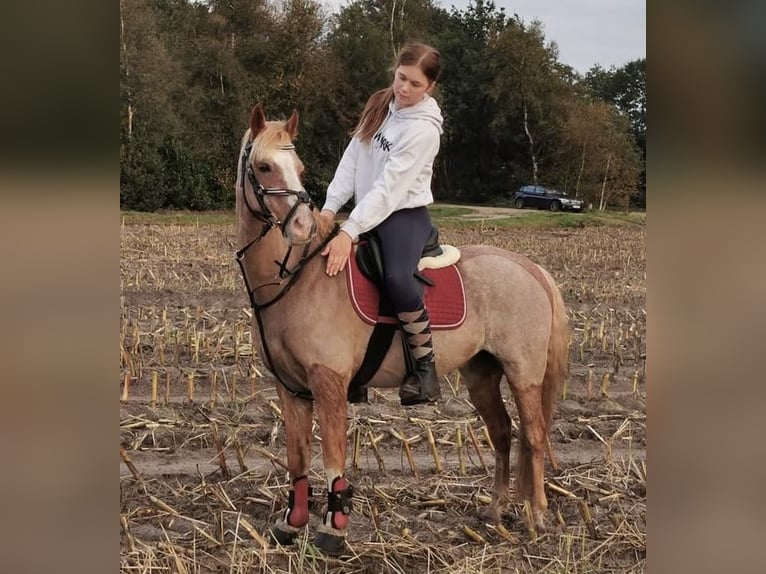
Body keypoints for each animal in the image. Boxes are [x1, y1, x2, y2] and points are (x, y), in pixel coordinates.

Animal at [235, 104, 570, 555]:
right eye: (265, 166)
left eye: (299, 167)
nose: (301, 227)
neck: (296, 276)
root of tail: (529, 268)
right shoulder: (291, 389)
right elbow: (297, 458)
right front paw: (292, 524)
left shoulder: (329, 384)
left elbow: (334, 457)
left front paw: (333, 530)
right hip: (482, 374)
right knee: (502, 434)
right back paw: (495, 511)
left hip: (524, 375)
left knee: (534, 436)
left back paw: (538, 516)